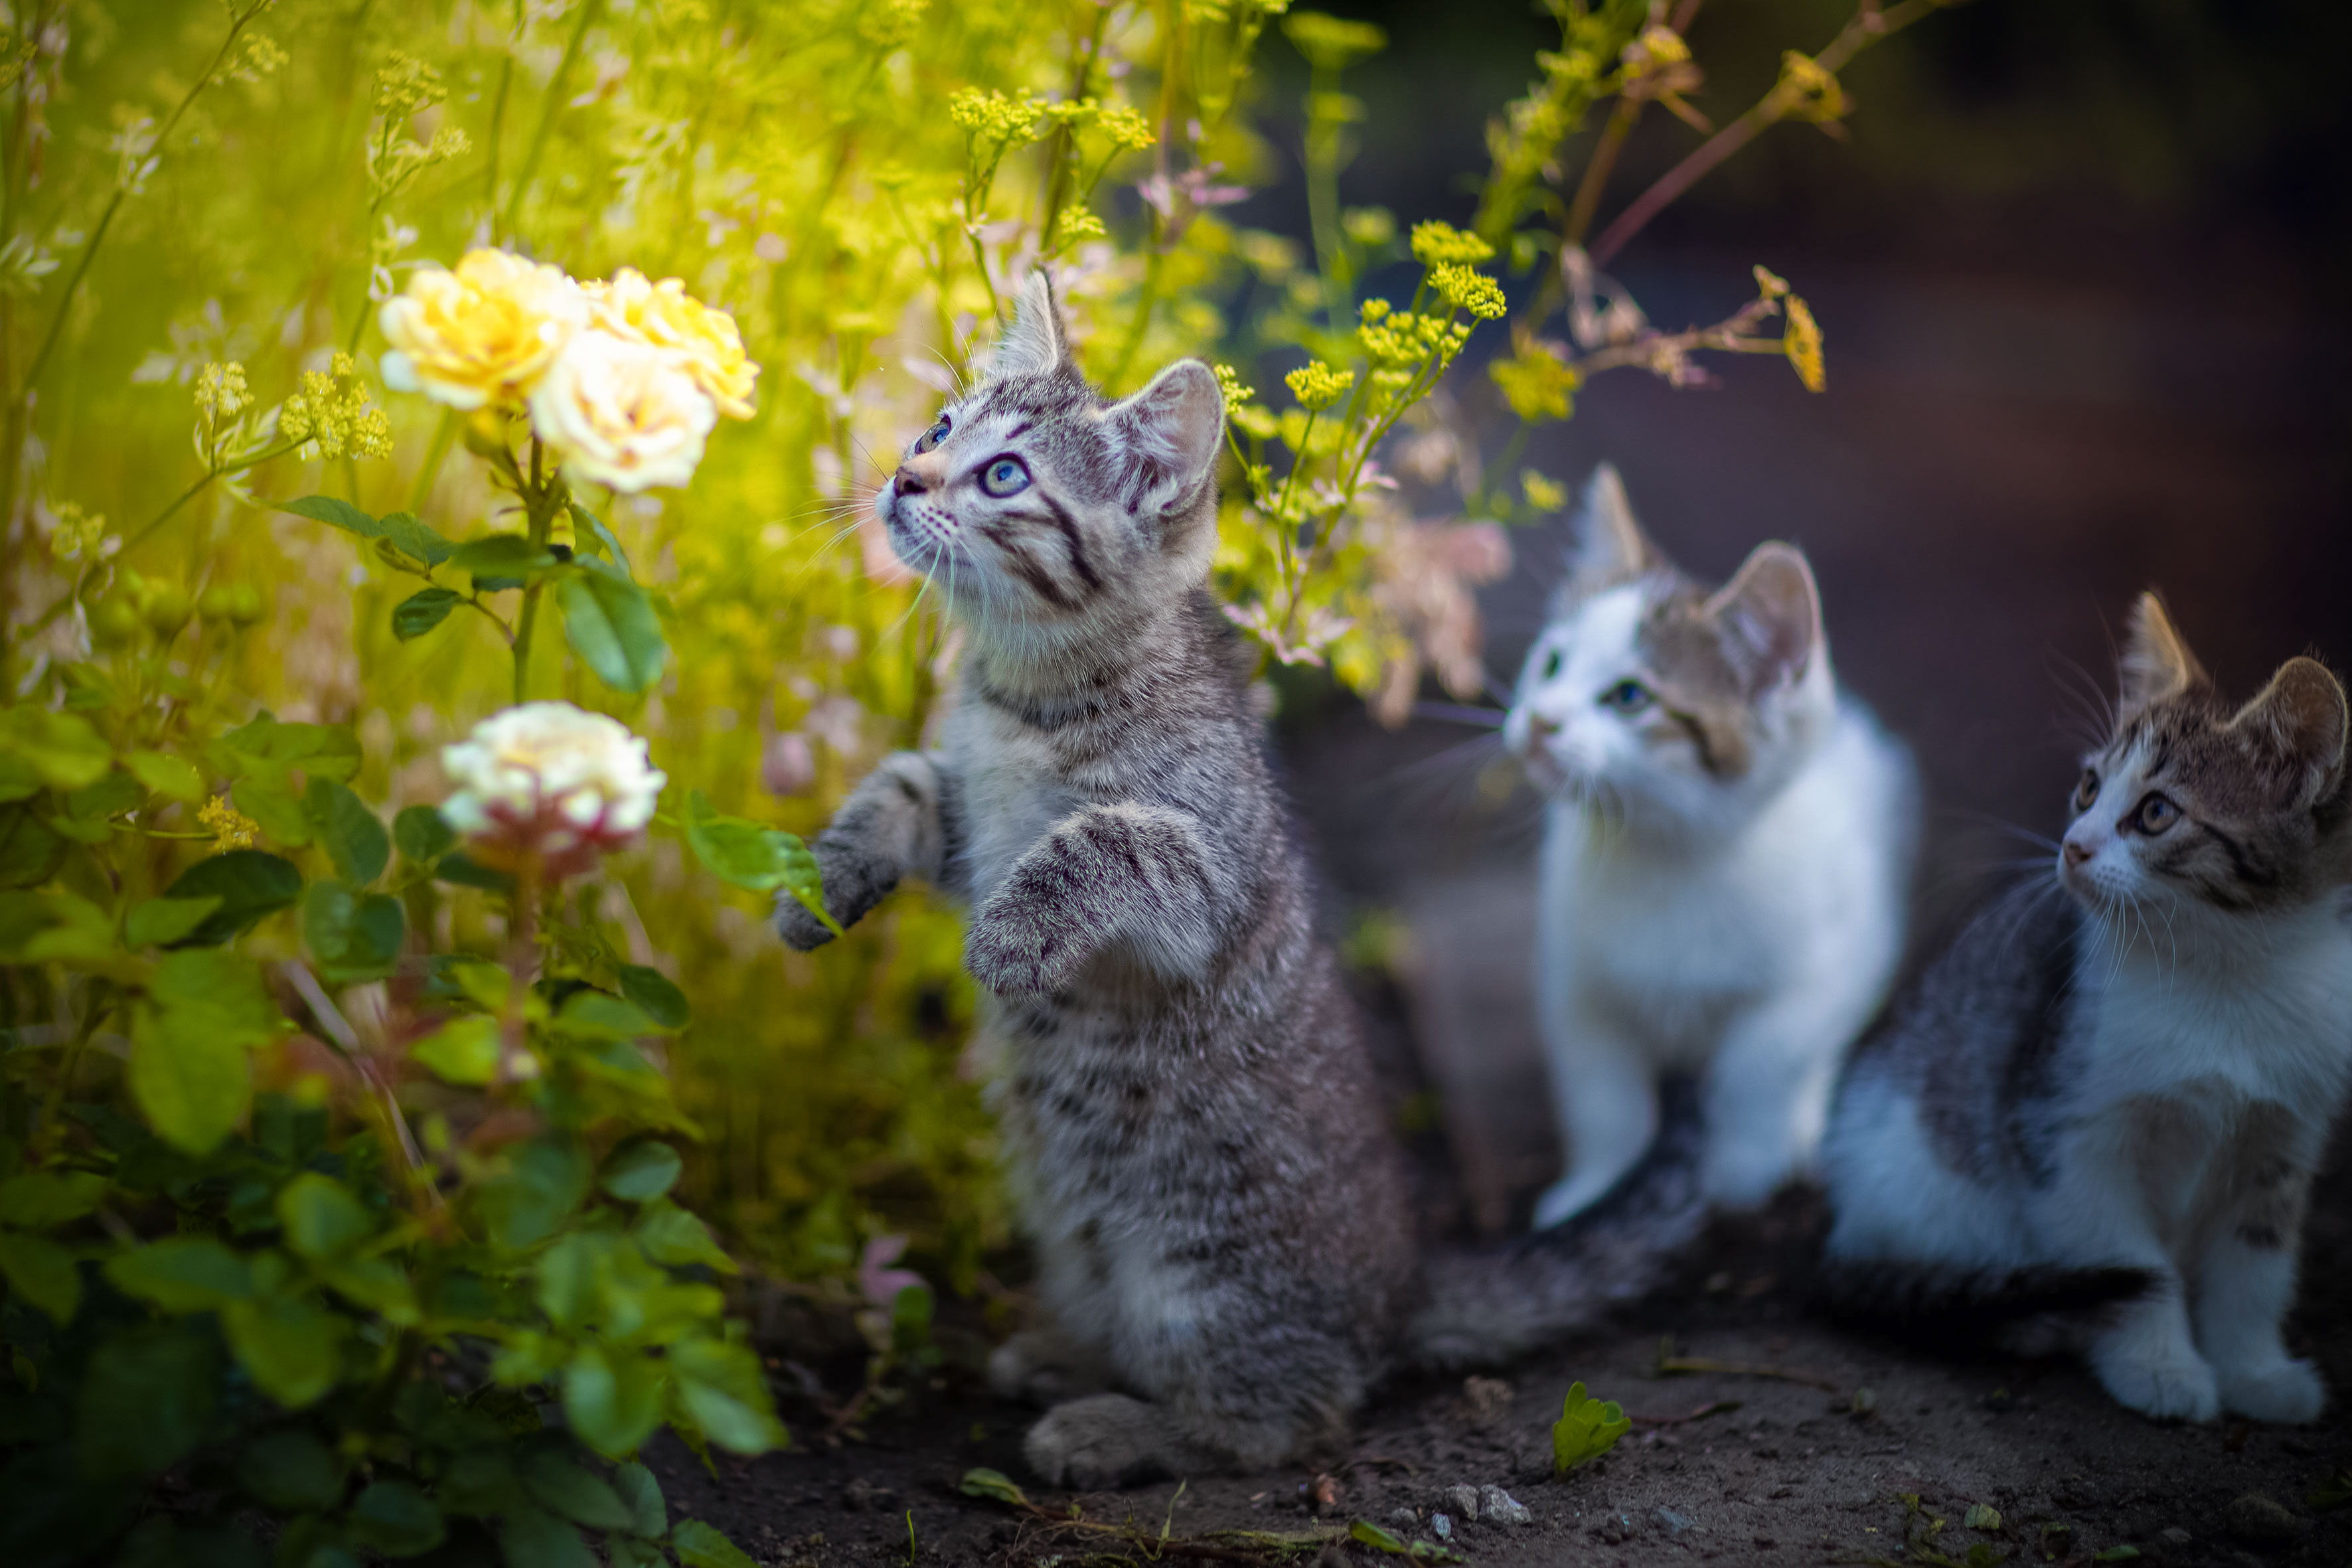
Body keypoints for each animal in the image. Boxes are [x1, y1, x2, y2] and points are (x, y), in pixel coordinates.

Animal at [781, 276, 1721, 1495]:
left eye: (1003, 476)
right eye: (939, 428)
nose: (904, 475)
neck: (1023, 697)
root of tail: (1396, 1292)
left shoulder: (1203, 870)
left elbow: (1101, 839)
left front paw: (1008, 937)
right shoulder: (964, 823)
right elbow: (897, 787)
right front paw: (818, 881)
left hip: (1198, 1279)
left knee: (1281, 1419)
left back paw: (1112, 1428)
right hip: (1084, 1245)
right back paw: (1063, 1354)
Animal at [1514, 465, 1919, 1222]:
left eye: (1629, 697)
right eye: (1550, 663)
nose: (1538, 720)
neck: (1665, 856)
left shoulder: (1819, 970)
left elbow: (1760, 1064)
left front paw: (1743, 1173)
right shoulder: (1577, 984)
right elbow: (1602, 1095)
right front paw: (1591, 1190)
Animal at [1816, 594, 2352, 1429]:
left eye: (2157, 812)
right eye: (2090, 787)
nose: (2072, 845)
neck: (2227, 974)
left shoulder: (2283, 1141)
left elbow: (2254, 1267)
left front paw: (2255, 1370)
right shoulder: (2063, 1125)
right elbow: (2129, 1261)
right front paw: (2160, 1366)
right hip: (1914, 1167)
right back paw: (2028, 1318)